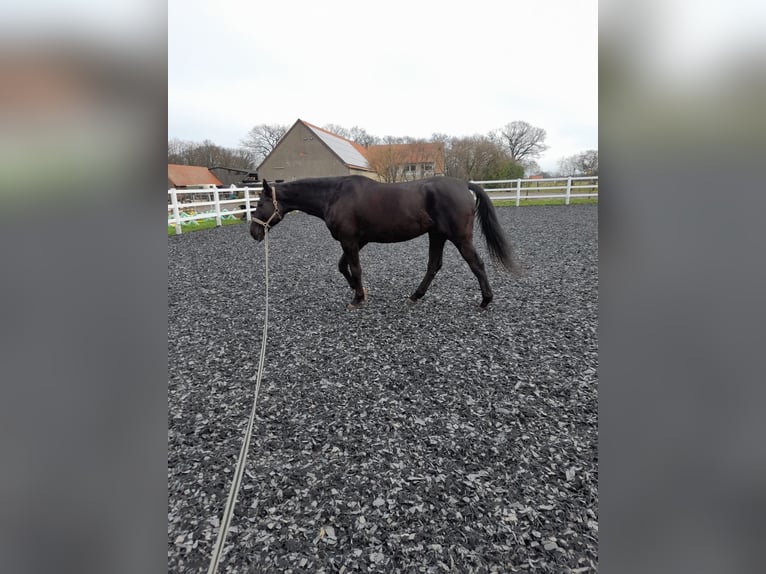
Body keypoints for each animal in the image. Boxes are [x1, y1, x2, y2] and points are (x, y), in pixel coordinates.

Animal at [252, 176, 520, 310]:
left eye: (260, 204)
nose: (253, 232)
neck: (335, 195)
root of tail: (463, 184)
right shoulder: (356, 241)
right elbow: (343, 267)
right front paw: (358, 290)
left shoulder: (350, 240)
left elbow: (355, 268)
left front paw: (357, 297)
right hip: (437, 235)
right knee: (434, 266)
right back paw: (415, 296)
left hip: (459, 238)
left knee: (477, 264)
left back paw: (485, 301)